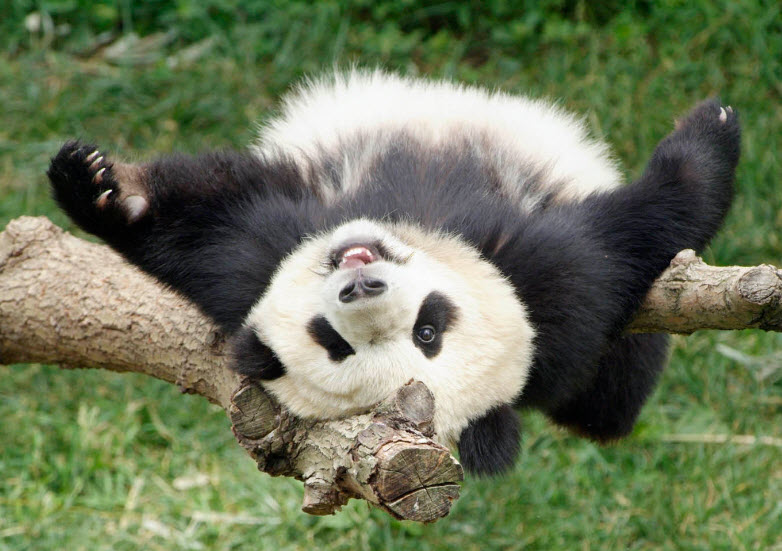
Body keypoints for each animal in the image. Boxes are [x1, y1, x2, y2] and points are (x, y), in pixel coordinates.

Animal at [48, 70, 741, 476]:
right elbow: (207, 226)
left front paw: (711, 129)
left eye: (428, 331)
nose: (363, 283)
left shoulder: (556, 294)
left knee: (614, 398)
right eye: (335, 342)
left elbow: (633, 232)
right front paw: (103, 189)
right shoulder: (257, 261)